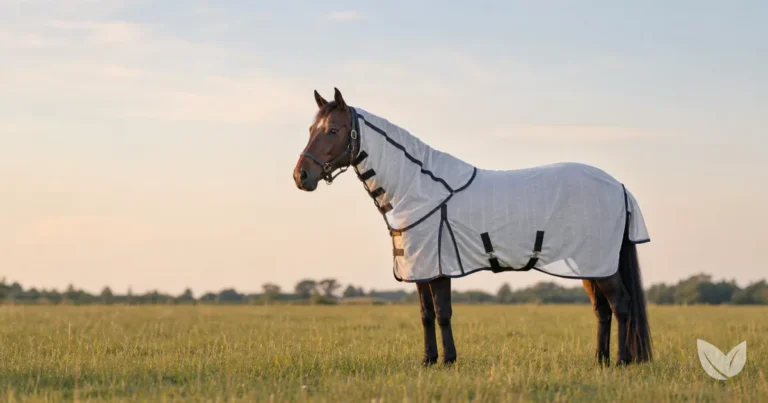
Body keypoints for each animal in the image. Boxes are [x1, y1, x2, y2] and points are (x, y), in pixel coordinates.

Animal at [293, 88, 653, 367]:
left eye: (333, 130)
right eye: (311, 128)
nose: (301, 176)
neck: (419, 189)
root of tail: (618, 186)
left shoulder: (437, 268)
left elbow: (442, 312)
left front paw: (448, 360)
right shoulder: (420, 268)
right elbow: (425, 314)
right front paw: (428, 360)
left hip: (601, 264)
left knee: (621, 305)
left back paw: (621, 361)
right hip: (588, 263)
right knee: (602, 309)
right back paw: (600, 360)